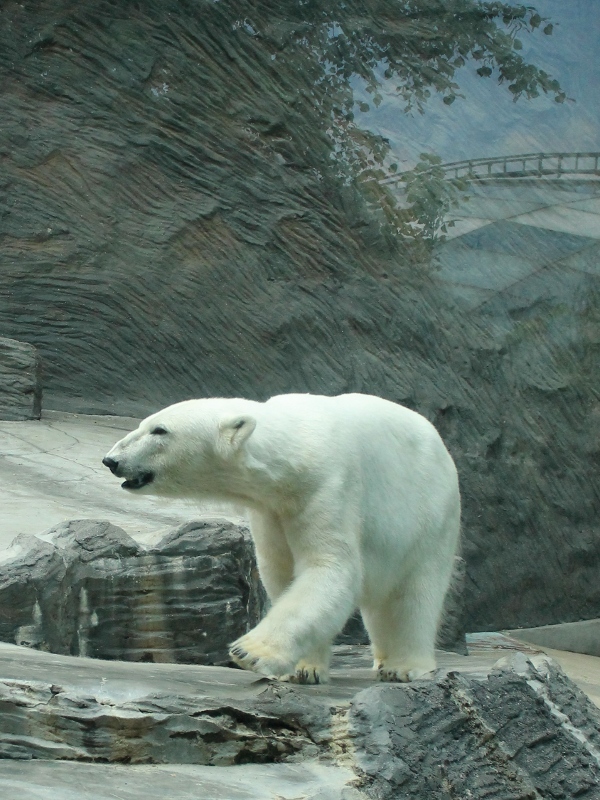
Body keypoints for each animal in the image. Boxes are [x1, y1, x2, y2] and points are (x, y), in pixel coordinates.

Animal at [102, 392, 460, 680]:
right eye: (146, 424)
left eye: (160, 430)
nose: (111, 460)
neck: (293, 450)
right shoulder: (270, 510)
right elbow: (281, 573)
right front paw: (304, 669)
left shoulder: (329, 486)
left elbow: (330, 568)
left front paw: (249, 652)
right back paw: (382, 660)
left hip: (430, 513)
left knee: (415, 594)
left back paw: (404, 666)